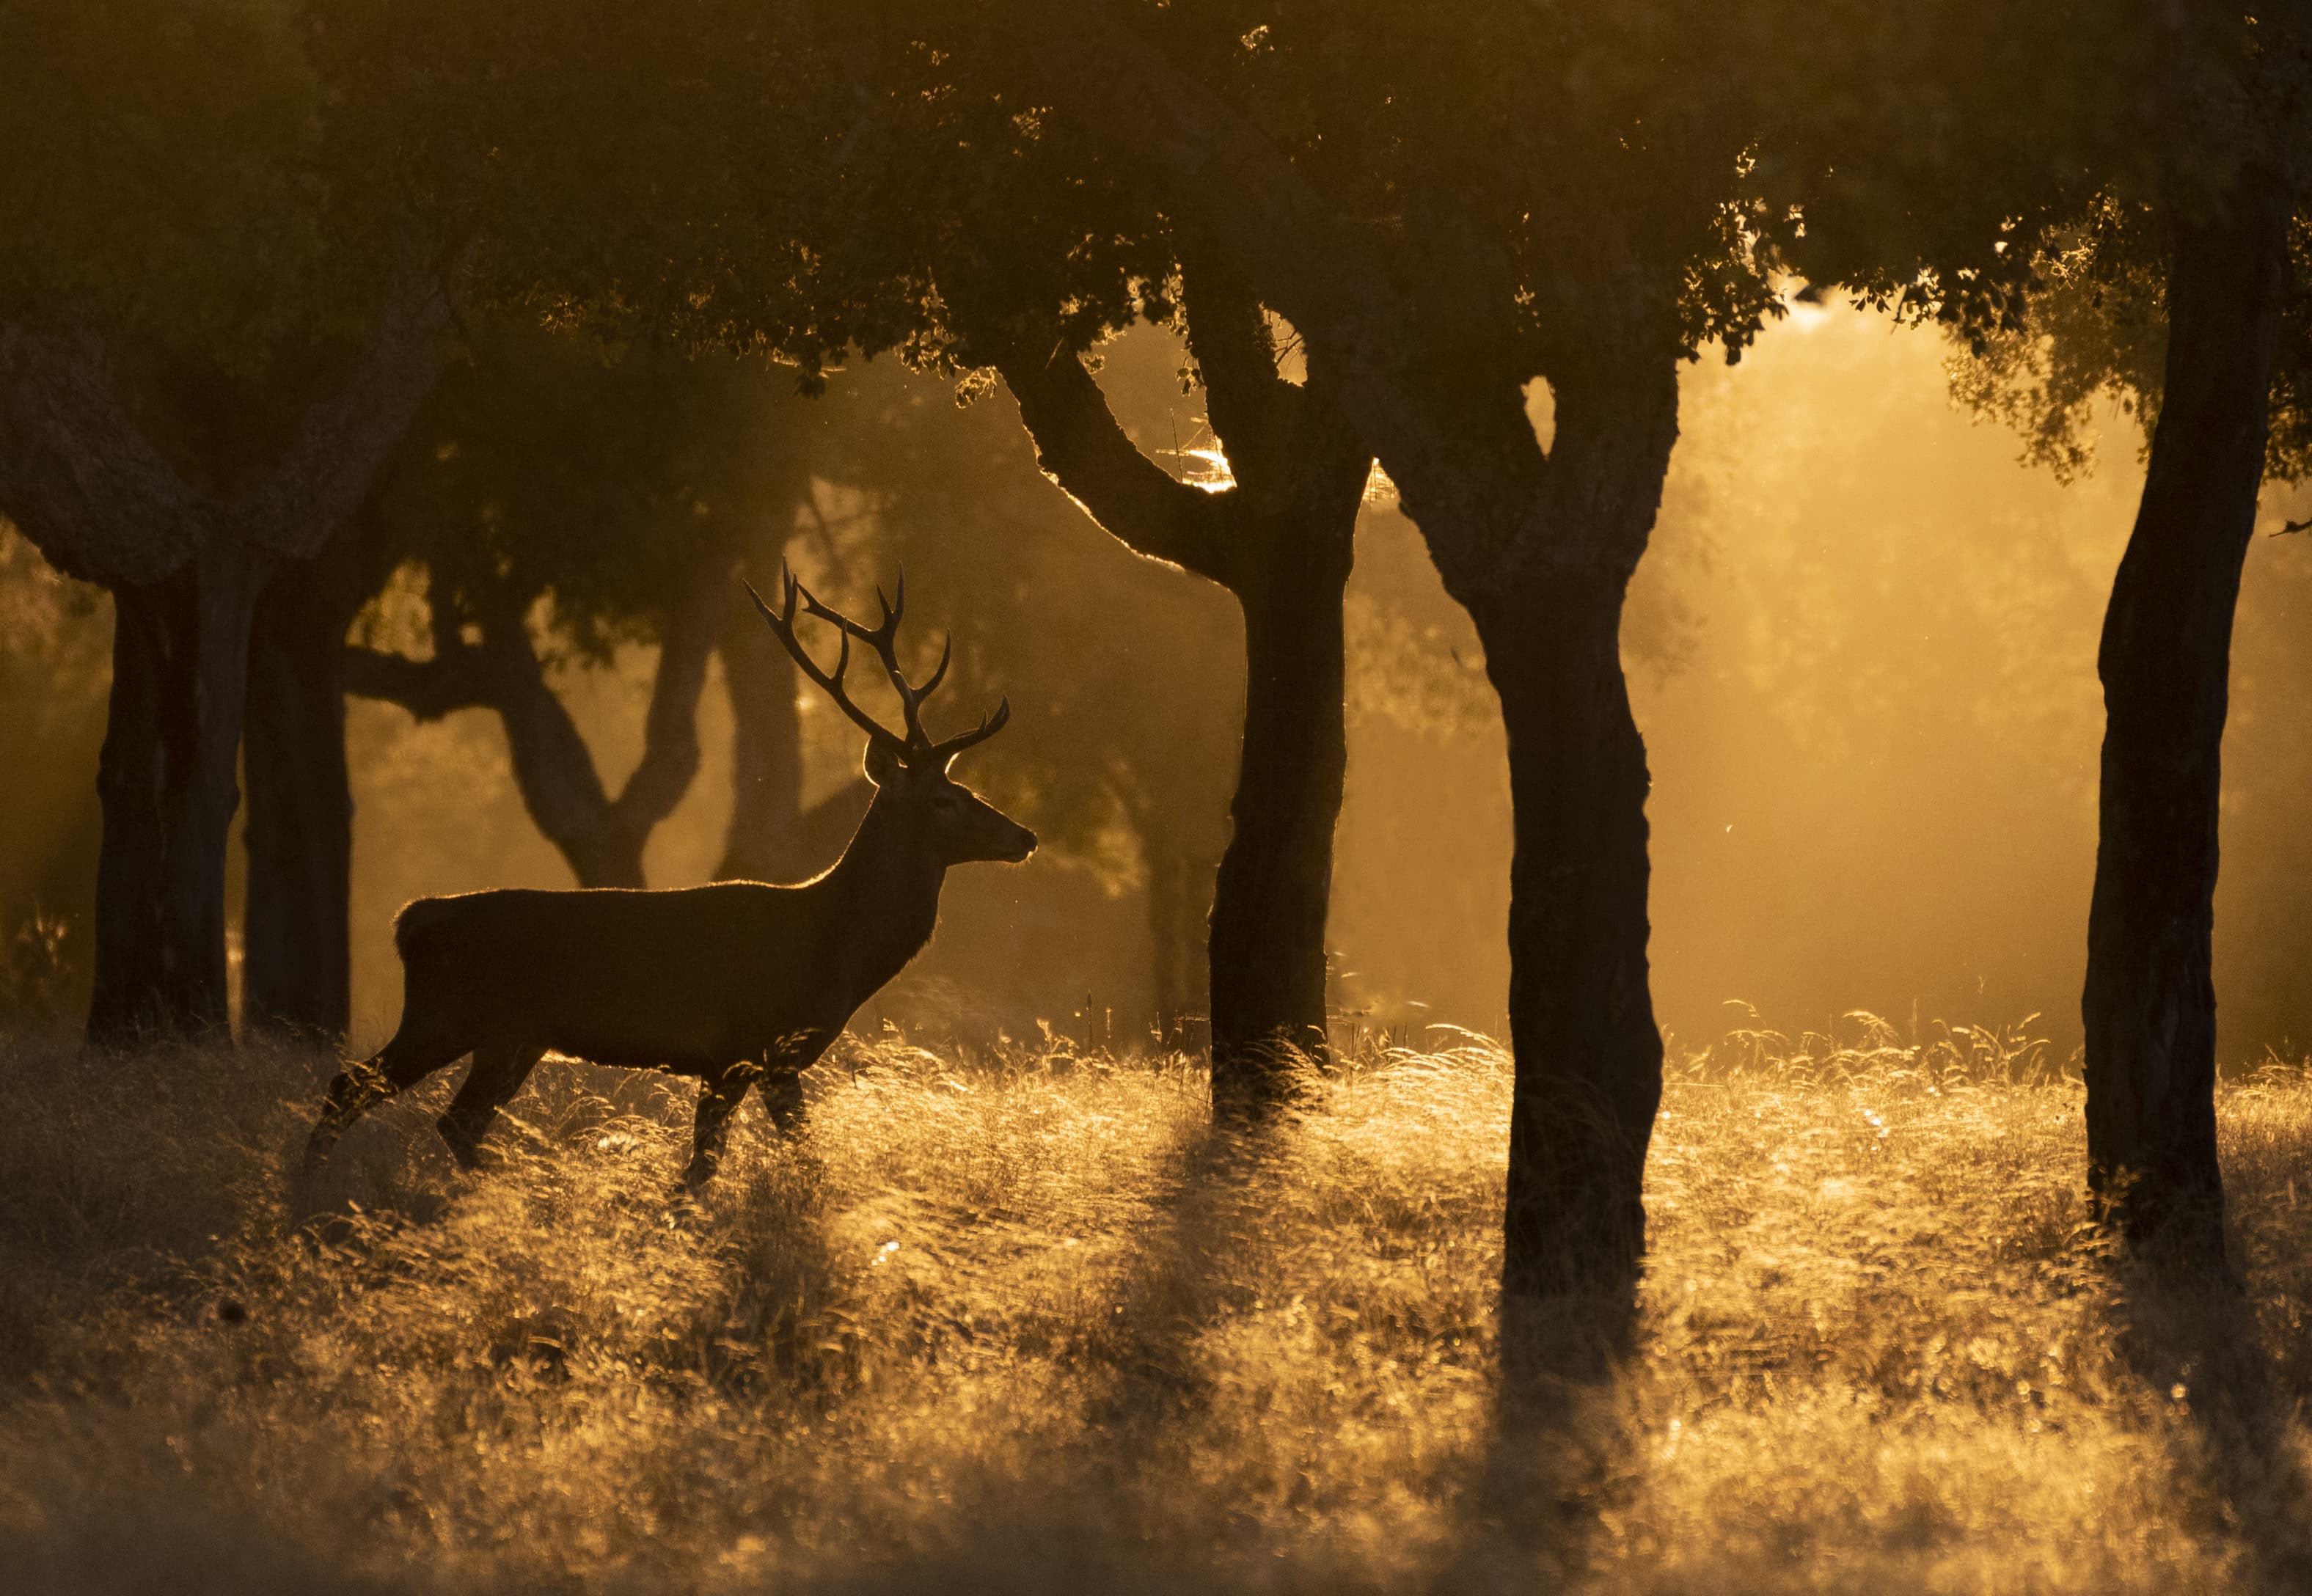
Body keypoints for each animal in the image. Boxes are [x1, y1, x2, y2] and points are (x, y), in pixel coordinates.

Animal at [302, 567, 1036, 1189]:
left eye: (966, 788)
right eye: (944, 799)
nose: (1024, 836)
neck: (836, 947)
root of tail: (411, 919)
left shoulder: (755, 1060)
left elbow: (751, 1161)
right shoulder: (750, 1046)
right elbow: (728, 1165)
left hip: (510, 1038)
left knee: (455, 1121)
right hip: (445, 1013)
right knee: (348, 1088)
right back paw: (310, 1195)